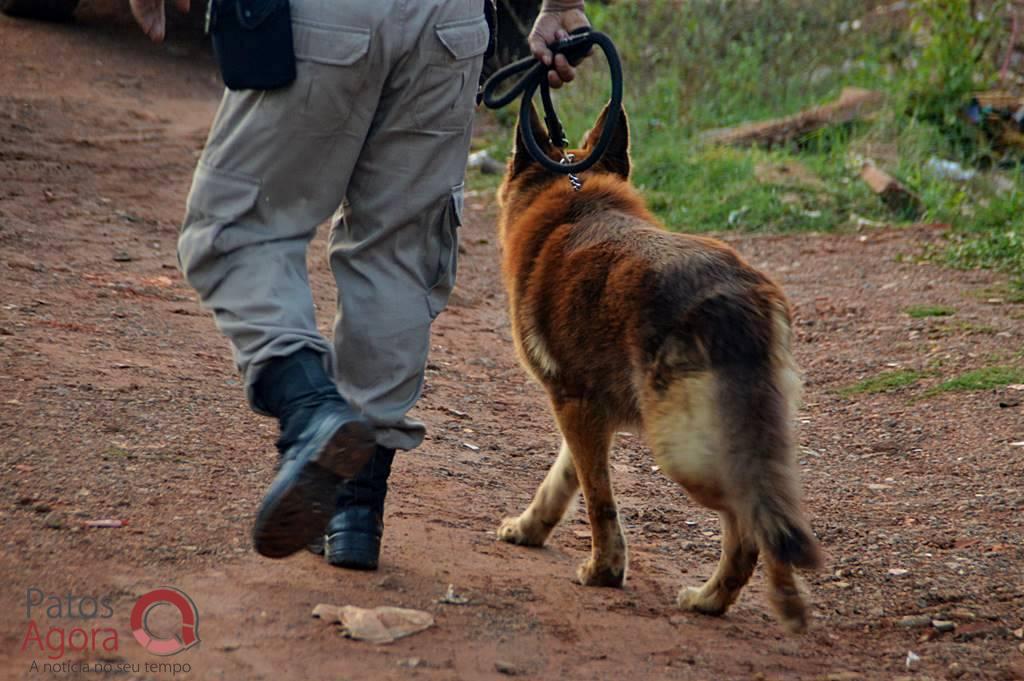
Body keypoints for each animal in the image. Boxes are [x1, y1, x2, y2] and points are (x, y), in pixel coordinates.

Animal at [495, 104, 823, 630]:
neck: (575, 197)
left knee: (751, 522)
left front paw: (604, 571)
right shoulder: (588, 417)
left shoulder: (574, 407)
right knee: (766, 516)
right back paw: (735, 599)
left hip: (682, 453)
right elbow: (561, 481)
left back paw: (747, 599)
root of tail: (736, 299)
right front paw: (531, 528)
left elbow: (599, 502)